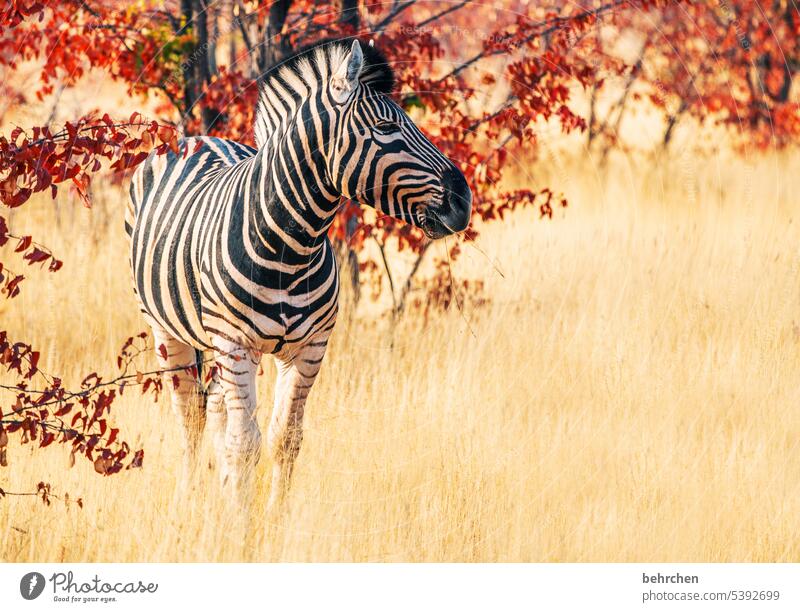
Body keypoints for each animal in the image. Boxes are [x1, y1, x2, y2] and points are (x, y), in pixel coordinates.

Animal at [126, 37, 472, 512]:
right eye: (385, 127)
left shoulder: (310, 347)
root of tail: (198, 136)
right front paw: (239, 523)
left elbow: (284, 439)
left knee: (214, 410)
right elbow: (245, 443)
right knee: (191, 416)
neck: (291, 248)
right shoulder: (237, 345)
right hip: (166, 329)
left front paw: (274, 520)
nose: (464, 200)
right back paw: (189, 501)